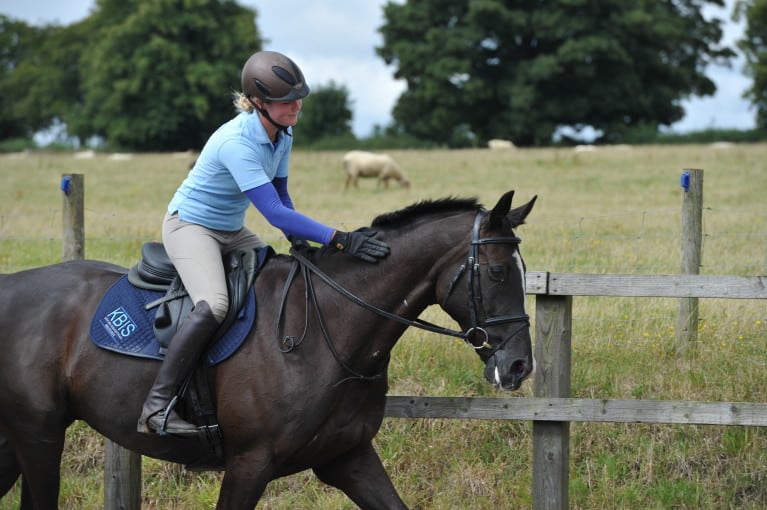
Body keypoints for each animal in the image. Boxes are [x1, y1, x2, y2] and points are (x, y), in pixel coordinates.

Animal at [0, 189, 536, 508]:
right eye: (497, 272)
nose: (518, 366)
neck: (332, 331)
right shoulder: (249, 463)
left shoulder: (349, 457)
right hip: (39, 434)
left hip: (17, 440)